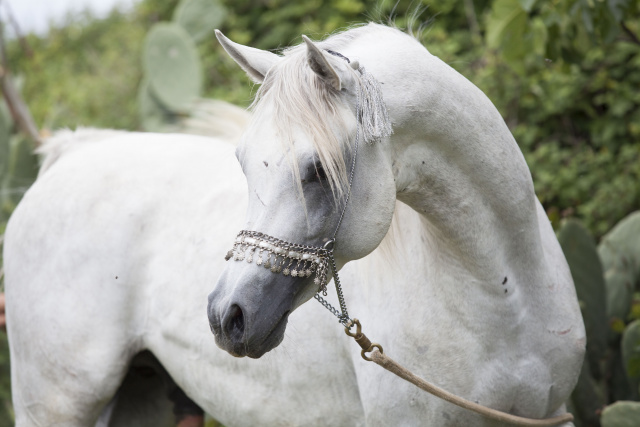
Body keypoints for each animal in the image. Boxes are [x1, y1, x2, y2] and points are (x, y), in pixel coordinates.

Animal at [3, 24, 584, 427]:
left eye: (317, 171)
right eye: (242, 161)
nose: (227, 317)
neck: (504, 292)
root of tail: (69, 153)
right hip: (58, 404)